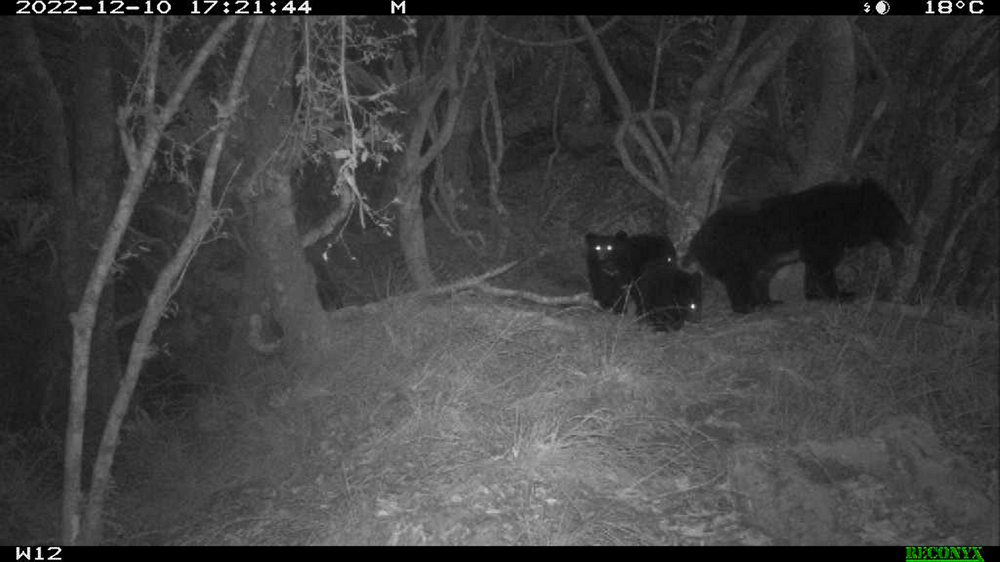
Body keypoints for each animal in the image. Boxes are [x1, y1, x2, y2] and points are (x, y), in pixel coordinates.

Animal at [683, 178, 913, 314]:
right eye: (896, 217)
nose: (910, 236)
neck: (845, 217)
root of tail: (696, 240)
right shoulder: (822, 233)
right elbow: (823, 265)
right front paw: (842, 295)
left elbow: (814, 266)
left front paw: (814, 295)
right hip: (734, 249)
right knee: (738, 278)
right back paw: (747, 306)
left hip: (761, 257)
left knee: (760, 277)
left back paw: (768, 302)